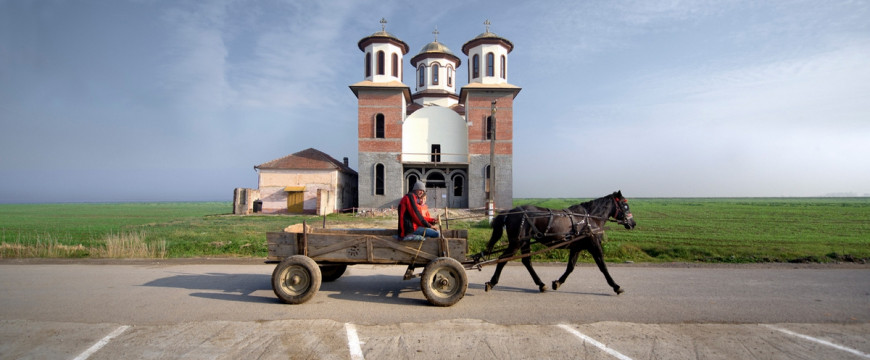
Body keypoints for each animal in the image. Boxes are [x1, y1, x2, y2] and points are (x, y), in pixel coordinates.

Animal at [480, 190, 636, 294]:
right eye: (625, 206)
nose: (633, 223)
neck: (590, 219)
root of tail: (511, 212)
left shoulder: (576, 247)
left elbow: (570, 267)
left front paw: (557, 282)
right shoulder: (594, 245)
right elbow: (603, 266)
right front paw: (616, 286)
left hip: (524, 242)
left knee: (526, 261)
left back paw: (541, 284)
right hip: (516, 243)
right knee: (502, 259)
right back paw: (492, 282)